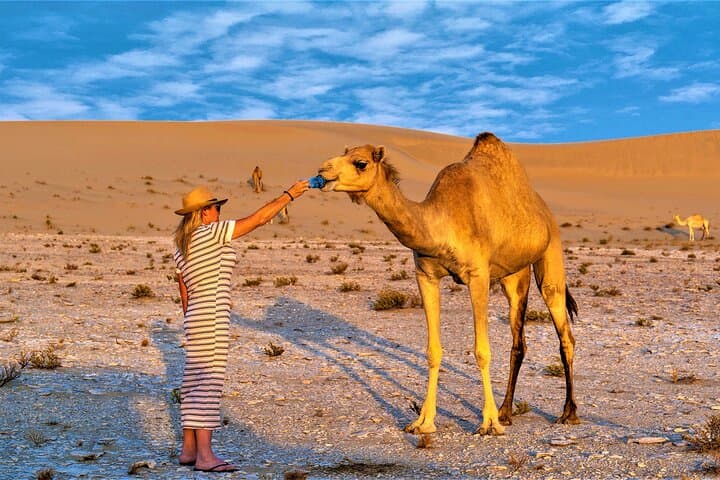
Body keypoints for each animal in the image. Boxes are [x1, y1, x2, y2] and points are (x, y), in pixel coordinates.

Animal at [316, 132, 579, 436]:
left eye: (360, 163)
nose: (322, 171)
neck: (441, 223)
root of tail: (544, 211)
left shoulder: (478, 275)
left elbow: (481, 351)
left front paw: (489, 423)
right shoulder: (425, 275)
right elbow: (433, 351)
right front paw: (424, 422)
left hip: (551, 255)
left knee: (564, 331)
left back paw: (568, 412)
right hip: (513, 275)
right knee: (519, 341)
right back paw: (506, 411)